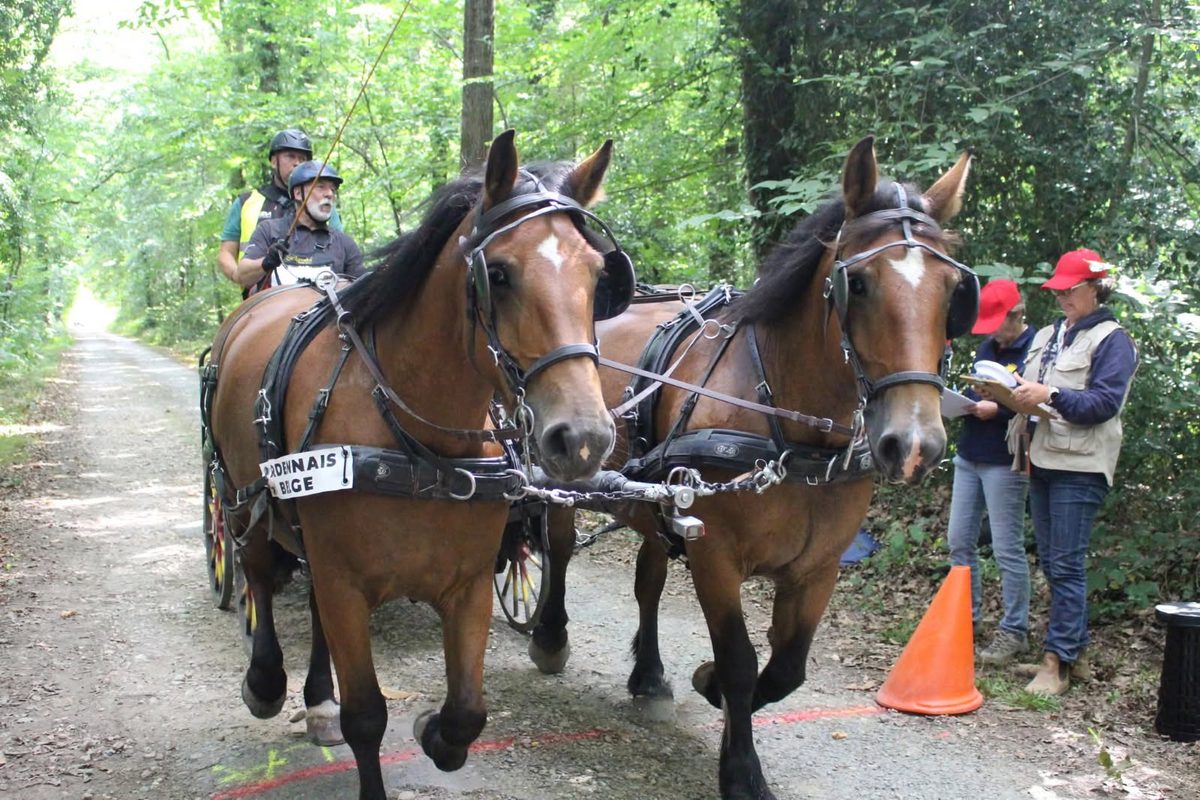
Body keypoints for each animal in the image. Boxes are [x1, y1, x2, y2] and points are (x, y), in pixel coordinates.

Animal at [203, 130, 631, 800]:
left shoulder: (468, 583)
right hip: (245, 501)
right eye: (498, 274)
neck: (421, 447)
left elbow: (468, 713)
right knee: (259, 576)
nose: (582, 438)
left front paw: (433, 732)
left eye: (596, 273)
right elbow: (367, 716)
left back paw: (316, 700)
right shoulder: (346, 583)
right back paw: (266, 682)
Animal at [527, 136, 977, 799]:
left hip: (657, 499)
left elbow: (787, 668)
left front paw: (704, 682)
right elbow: (741, 662)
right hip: (563, 473)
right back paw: (550, 636)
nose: (914, 443)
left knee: (648, 580)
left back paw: (649, 675)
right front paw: (740, 767)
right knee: (557, 549)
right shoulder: (716, 555)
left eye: (953, 292)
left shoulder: (817, 567)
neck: (794, 432)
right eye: (859, 284)